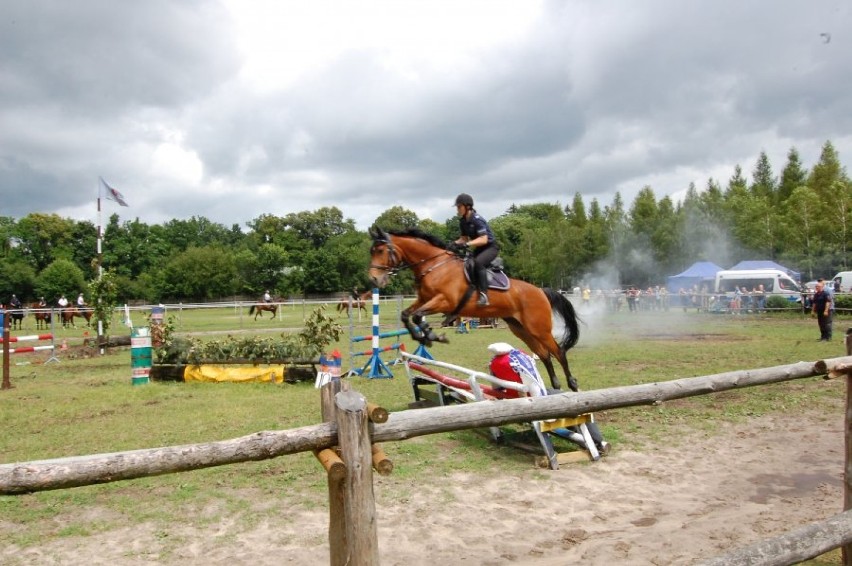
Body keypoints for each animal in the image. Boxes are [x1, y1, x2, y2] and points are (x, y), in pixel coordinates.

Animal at [366, 226, 580, 394]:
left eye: (381, 250)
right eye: (372, 251)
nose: (374, 279)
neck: (434, 265)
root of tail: (540, 291)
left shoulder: (445, 301)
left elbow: (418, 316)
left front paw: (432, 336)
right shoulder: (424, 300)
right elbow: (407, 315)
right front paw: (425, 337)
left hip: (538, 328)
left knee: (558, 352)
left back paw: (572, 384)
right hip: (521, 329)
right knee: (544, 354)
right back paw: (556, 385)